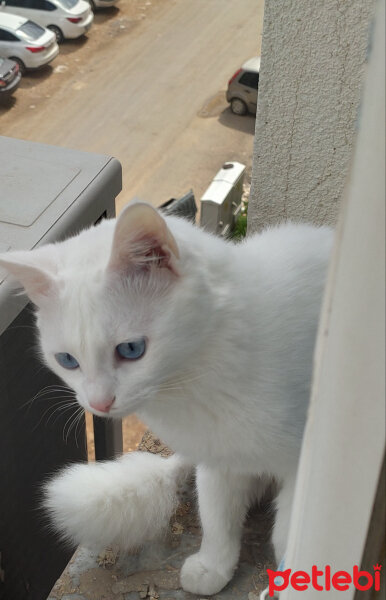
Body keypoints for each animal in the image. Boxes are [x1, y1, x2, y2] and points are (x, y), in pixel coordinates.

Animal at [0, 203, 332, 596]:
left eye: (131, 349)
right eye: (67, 360)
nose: (99, 404)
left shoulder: (304, 469)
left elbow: (288, 536)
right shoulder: (218, 460)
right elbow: (217, 517)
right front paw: (214, 567)